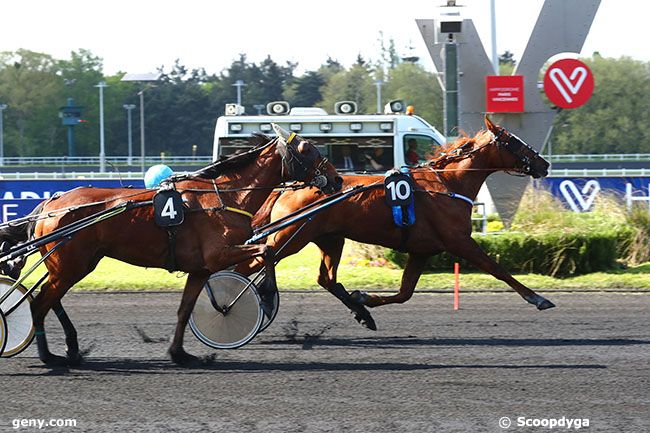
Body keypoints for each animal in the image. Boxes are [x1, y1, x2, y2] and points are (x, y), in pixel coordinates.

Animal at [0, 128, 342, 364]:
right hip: (70, 265)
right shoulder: (219, 254)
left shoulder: (201, 268)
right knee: (39, 304)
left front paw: (180, 353)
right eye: (308, 149)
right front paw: (267, 297)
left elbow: (185, 309)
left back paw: (70, 347)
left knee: (49, 300)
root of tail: (50, 203)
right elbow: (268, 251)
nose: (338, 179)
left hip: (73, 265)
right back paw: (49, 356)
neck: (225, 197)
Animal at [238, 116, 552, 330]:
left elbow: (404, 293)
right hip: (288, 238)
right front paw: (538, 298)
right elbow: (498, 269)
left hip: (330, 239)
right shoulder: (460, 241)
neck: (447, 184)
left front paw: (363, 299)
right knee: (253, 261)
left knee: (325, 278)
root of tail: (288, 187)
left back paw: (361, 313)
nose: (544, 164)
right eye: (513, 141)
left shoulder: (421, 250)